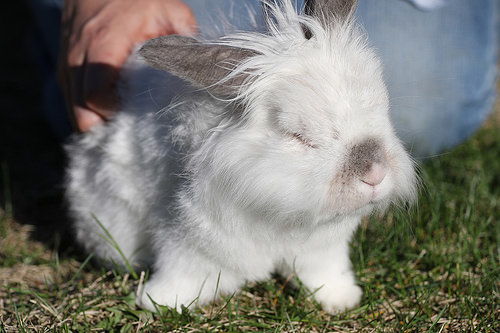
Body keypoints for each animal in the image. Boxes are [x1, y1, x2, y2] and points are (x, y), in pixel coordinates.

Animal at [67, 0, 418, 314]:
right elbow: (182, 275)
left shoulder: (321, 251)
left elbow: (325, 273)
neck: (279, 212)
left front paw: (342, 299)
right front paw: (159, 302)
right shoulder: (189, 244)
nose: (374, 173)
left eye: (381, 108)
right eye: (298, 136)